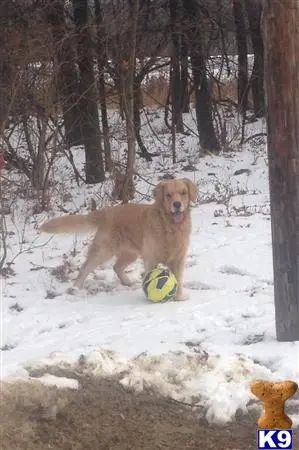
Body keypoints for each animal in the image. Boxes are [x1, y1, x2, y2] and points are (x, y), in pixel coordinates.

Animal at [40, 178, 197, 300]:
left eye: (183, 193)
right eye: (168, 195)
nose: (177, 204)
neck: (169, 225)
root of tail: (105, 211)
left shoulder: (179, 258)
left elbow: (178, 280)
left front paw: (179, 298)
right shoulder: (151, 259)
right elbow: (151, 278)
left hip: (130, 253)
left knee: (116, 267)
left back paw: (128, 282)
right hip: (104, 250)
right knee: (85, 267)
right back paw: (75, 288)